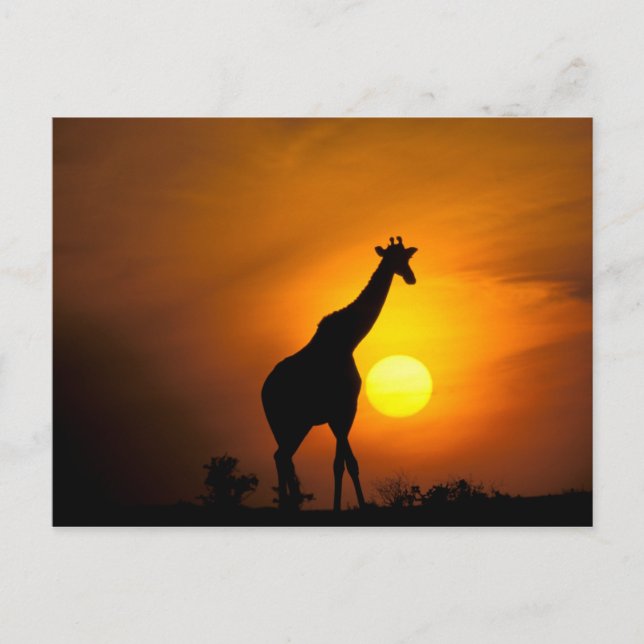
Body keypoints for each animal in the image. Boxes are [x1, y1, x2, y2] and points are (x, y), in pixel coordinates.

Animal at [261, 236, 418, 511]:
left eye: (407, 257)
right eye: (395, 258)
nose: (411, 277)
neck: (349, 340)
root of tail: (263, 392)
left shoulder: (338, 413)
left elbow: (340, 464)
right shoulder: (344, 408)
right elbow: (348, 463)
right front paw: (358, 507)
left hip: (289, 425)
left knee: (282, 456)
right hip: (291, 422)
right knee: (283, 457)